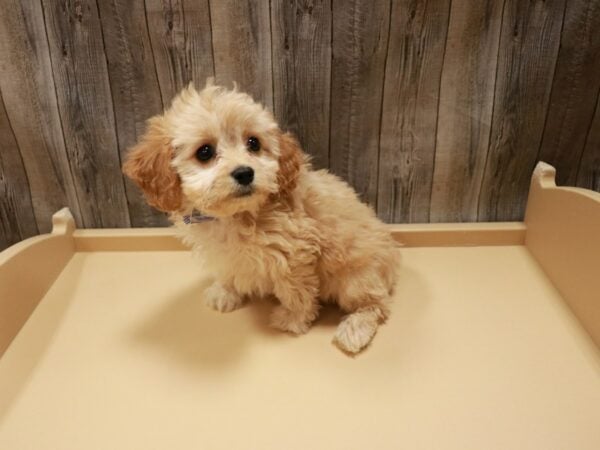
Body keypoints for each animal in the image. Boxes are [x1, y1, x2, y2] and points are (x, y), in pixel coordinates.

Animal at [123, 82, 398, 354]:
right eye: (204, 152)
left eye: (253, 143)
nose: (245, 173)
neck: (236, 215)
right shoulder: (226, 253)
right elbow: (228, 270)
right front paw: (225, 292)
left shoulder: (293, 255)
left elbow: (297, 291)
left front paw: (292, 319)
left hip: (356, 278)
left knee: (377, 305)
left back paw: (355, 330)